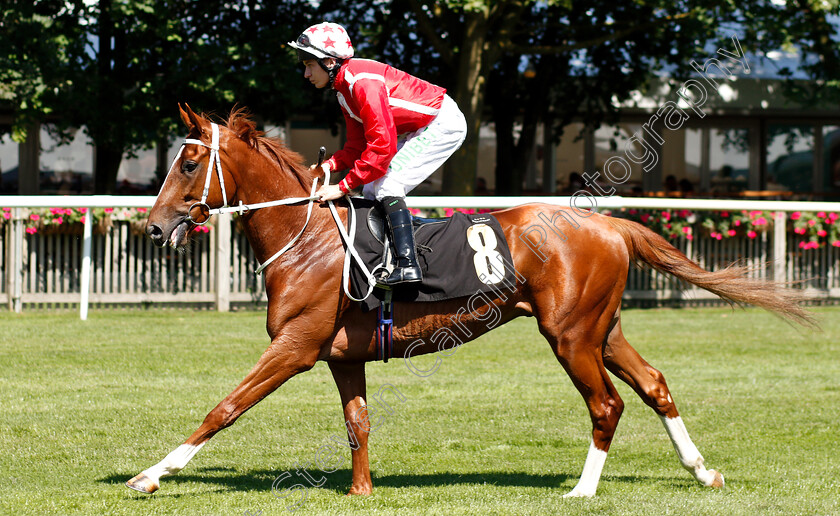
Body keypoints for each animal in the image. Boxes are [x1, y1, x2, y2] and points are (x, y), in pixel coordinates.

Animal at [130, 104, 812, 500]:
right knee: (654, 386)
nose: (154, 227)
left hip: (570, 336)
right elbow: (357, 422)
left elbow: (224, 407)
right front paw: (361, 492)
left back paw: (582, 491)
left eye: (188, 163)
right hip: (604, 329)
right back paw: (702, 470)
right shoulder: (341, 355)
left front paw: (150, 475)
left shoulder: (294, 346)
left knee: (607, 404)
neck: (310, 236)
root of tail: (613, 224)